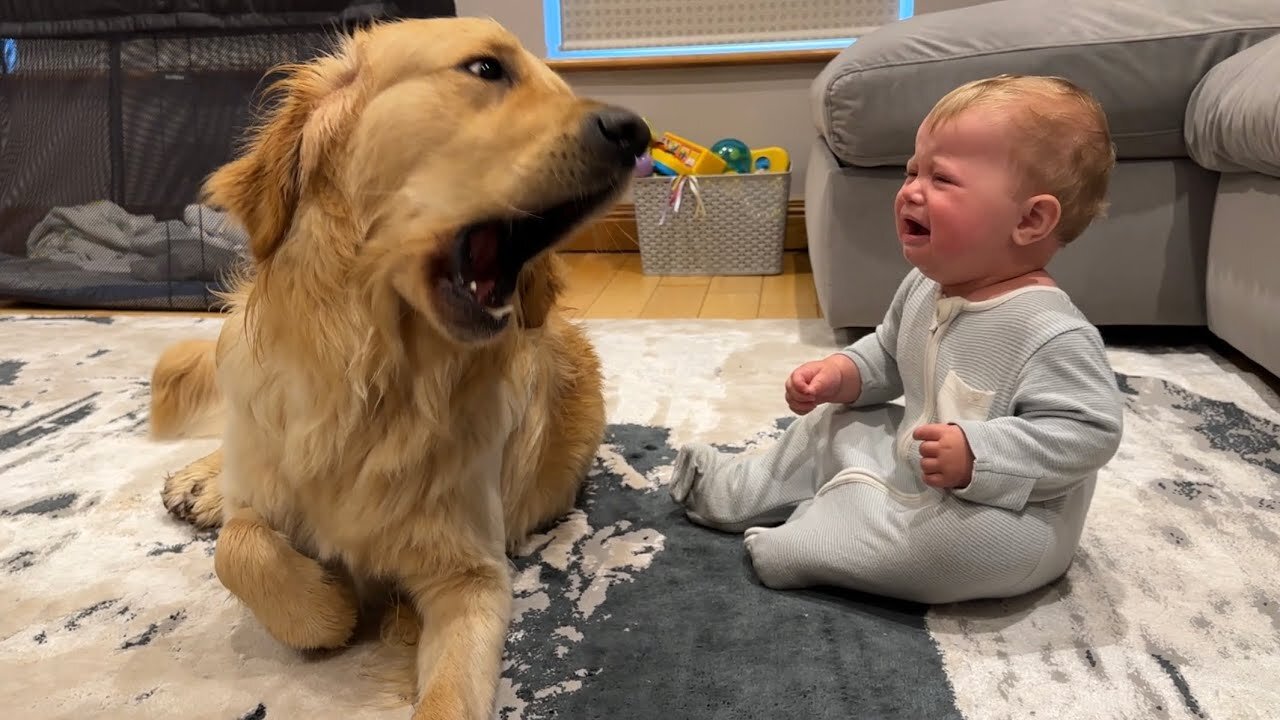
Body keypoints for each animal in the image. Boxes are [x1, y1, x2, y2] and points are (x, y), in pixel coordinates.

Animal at [149, 16, 650, 717]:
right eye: (487, 68)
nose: (636, 133)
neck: (374, 379)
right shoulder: (271, 488)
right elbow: (240, 548)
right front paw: (326, 608)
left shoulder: (472, 577)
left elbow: (447, 693)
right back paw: (204, 482)